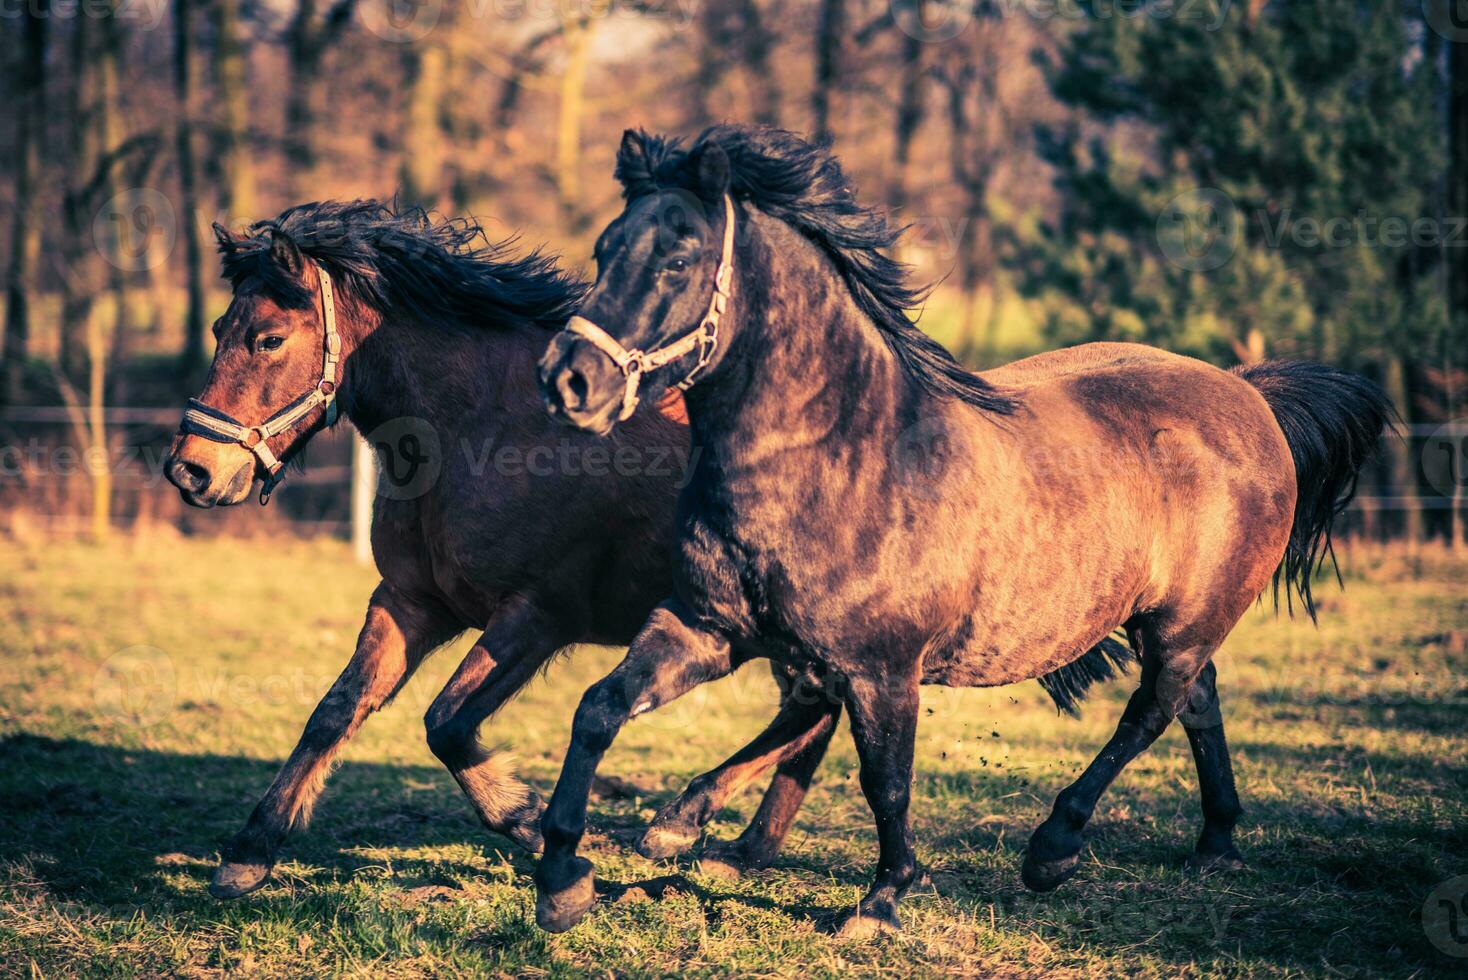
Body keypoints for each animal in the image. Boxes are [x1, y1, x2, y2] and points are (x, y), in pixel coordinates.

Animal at [534, 126, 1391, 938]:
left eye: (678, 260)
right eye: (606, 249)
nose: (568, 378)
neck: (846, 456)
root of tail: (1248, 395)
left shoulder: (883, 670)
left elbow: (885, 780)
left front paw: (881, 902)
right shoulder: (706, 629)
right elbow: (599, 708)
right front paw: (562, 879)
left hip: (1184, 622)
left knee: (1154, 708)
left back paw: (1054, 847)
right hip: (1159, 622)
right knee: (1198, 702)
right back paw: (1216, 842)